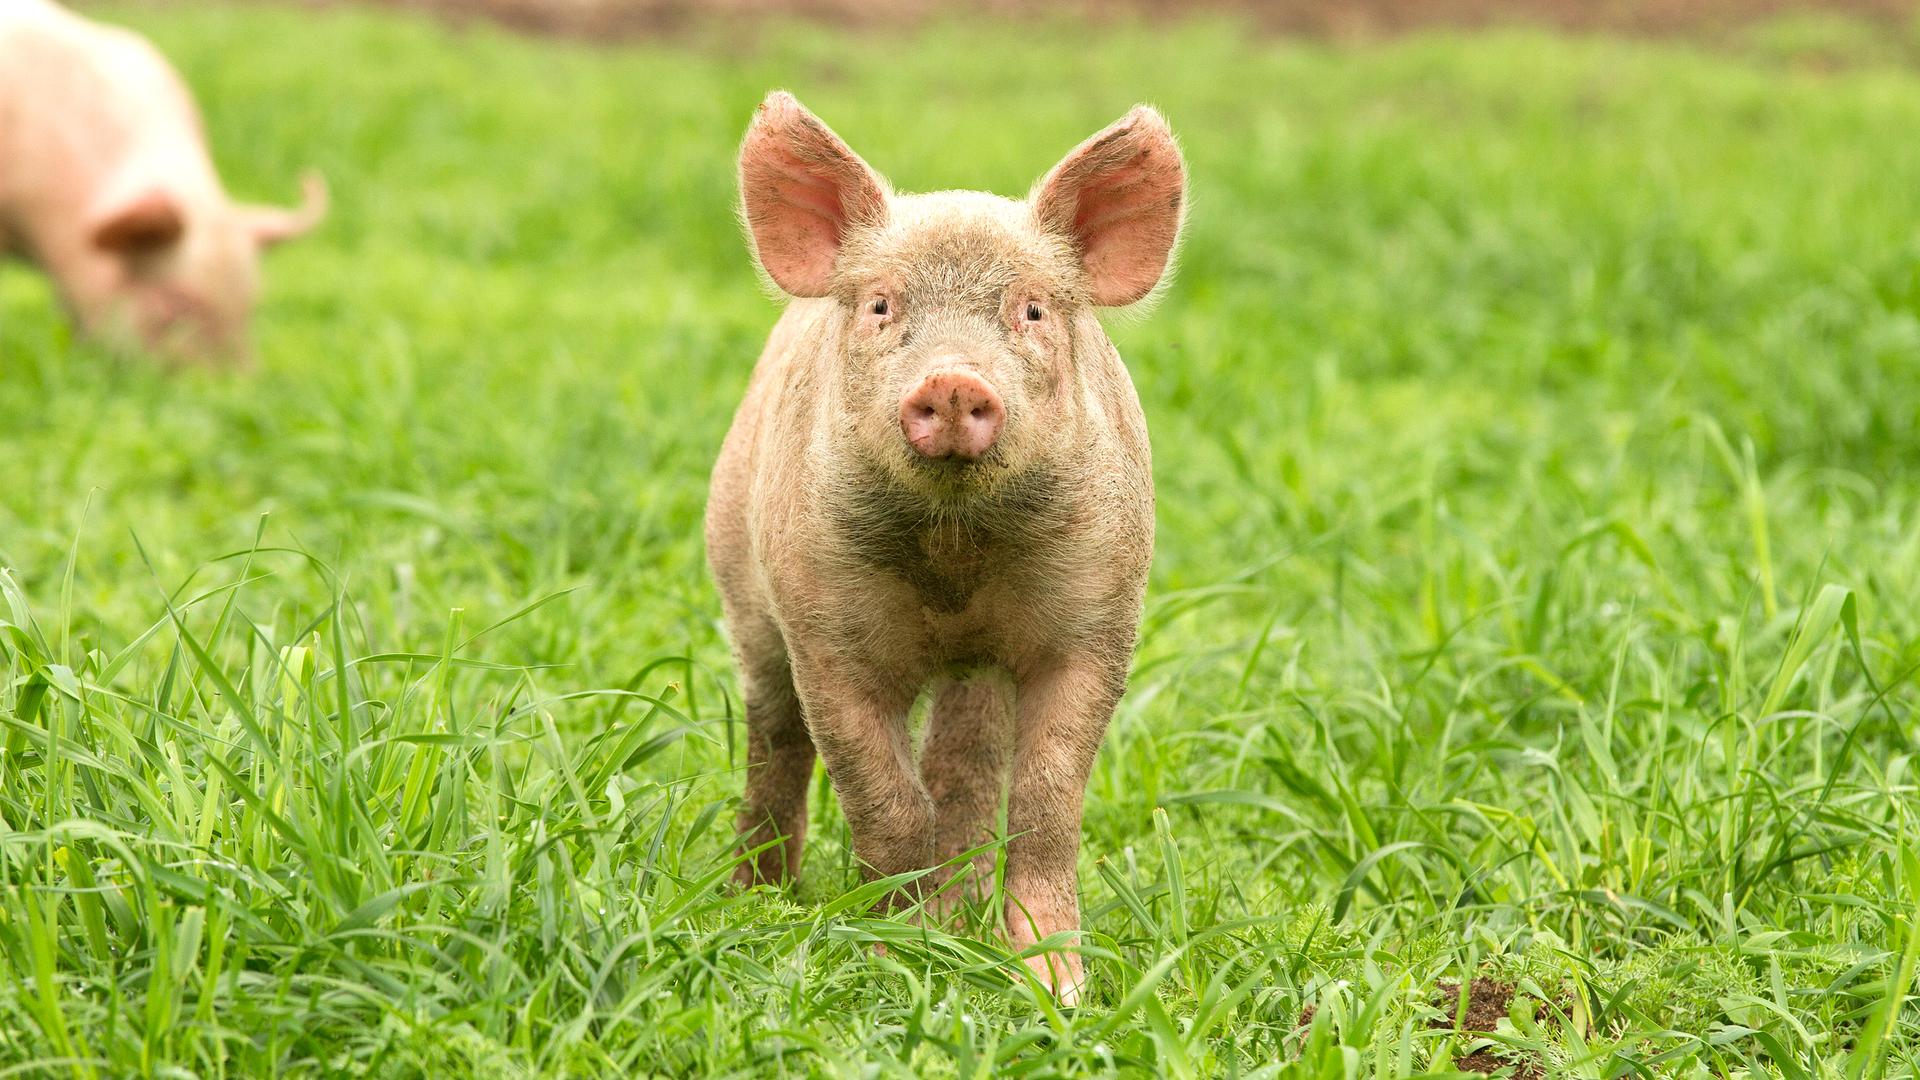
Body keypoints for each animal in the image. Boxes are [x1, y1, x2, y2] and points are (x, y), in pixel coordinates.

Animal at [708, 91, 1185, 1004]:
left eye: (1032, 310)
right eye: (881, 306)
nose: (954, 380)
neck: (956, 557)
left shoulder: (1099, 618)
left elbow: (1044, 803)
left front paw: (1056, 987)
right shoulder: (822, 628)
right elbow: (885, 802)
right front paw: (894, 964)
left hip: (980, 675)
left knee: (964, 768)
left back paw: (960, 920)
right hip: (741, 591)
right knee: (777, 740)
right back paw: (756, 896)